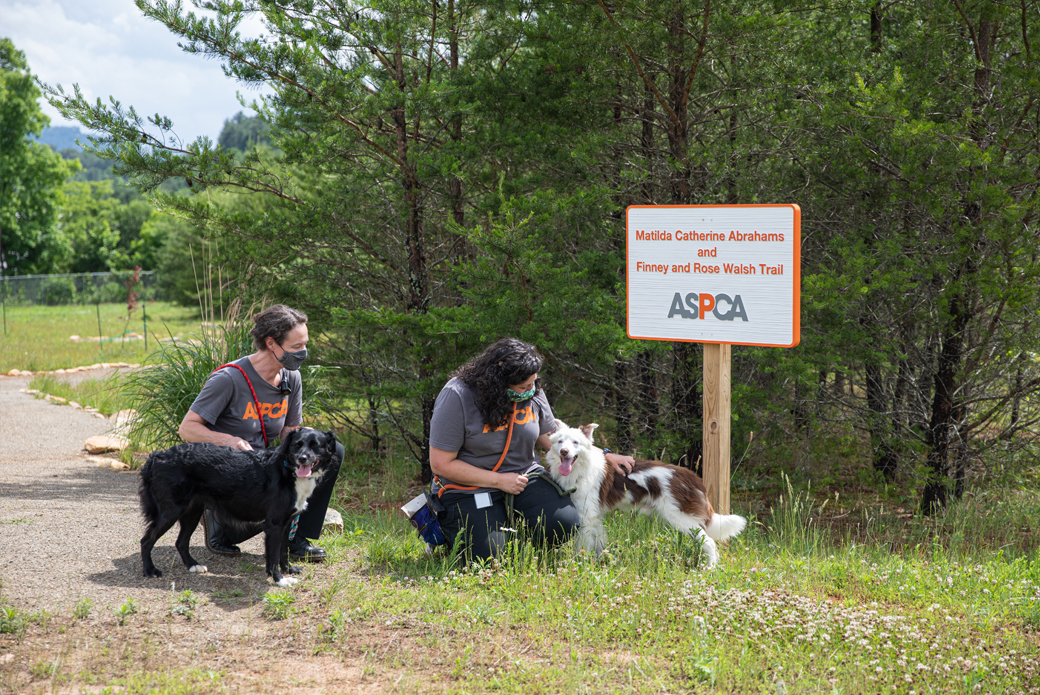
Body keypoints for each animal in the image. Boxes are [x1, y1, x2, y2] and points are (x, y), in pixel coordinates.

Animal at [138, 428, 336, 586]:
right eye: (297, 445)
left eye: (315, 446)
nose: (302, 458)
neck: (287, 469)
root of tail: (158, 456)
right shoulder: (273, 525)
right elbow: (273, 556)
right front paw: (279, 580)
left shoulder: (286, 523)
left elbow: (283, 551)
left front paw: (288, 570)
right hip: (170, 512)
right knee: (146, 541)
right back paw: (149, 570)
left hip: (192, 512)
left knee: (181, 542)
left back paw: (192, 565)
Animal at [544, 420, 748, 565]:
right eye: (560, 441)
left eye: (575, 442)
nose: (564, 451)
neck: (581, 469)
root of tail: (692, 477)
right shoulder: (595, 516)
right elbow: (599, 543)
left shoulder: (586, 517)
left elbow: (582, 547)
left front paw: (581, 565)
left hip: (682, 519)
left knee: (710, 542)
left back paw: (710, 569)